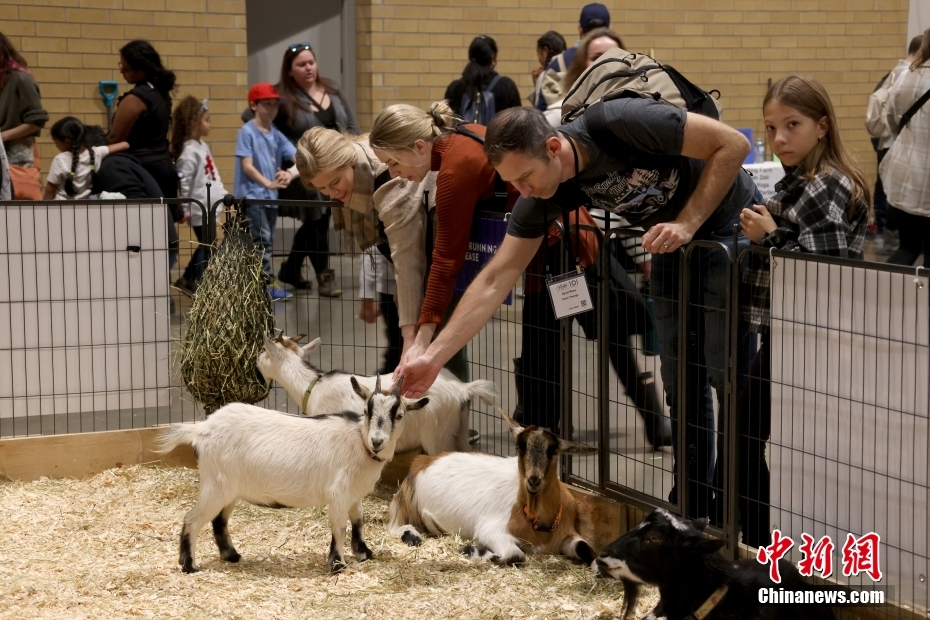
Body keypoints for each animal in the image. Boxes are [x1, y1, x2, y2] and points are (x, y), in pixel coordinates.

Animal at [159, 372, 428, 572]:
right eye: (367, 411)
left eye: (399, 415)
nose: (377, 441)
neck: (359, 443)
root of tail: (202, 429)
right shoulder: (338, 494)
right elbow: (339, 527)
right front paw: (337, 564)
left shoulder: (354, 495)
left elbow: (358, 521)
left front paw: (363, 553)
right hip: (216, 486)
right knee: (192, 519)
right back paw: (189, 565)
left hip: (228, 490)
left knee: (219, 521)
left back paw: (232, 556)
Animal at [256, 334, 492, 456]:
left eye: (263, 353)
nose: (256, 362)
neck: (313, 386)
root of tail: (463, 388)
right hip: (458, 431)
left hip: (437, 437)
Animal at [386, 410, 596, 564]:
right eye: (519, 448)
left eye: (553, 451)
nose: (533, 480)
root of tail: (424, 460)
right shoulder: (491, 530)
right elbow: (515, 555)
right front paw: (471, 550)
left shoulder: (568, 535)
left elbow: (587, 550)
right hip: (407, 502)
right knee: (394, 525)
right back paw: (412, 536)